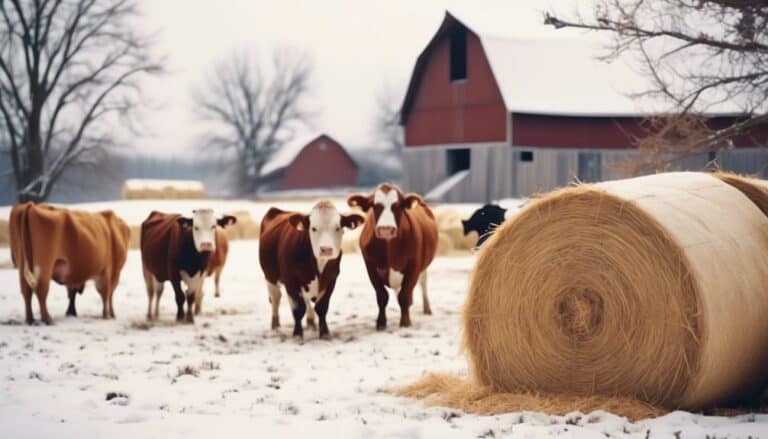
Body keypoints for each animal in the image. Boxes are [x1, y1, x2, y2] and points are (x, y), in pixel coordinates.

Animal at [260, 200, 364, 340]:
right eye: (313, 228)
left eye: (338, 228)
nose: (326, 249)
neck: (318, 263)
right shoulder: (290, 280)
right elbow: (298, 309)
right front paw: (297, 334)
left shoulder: (331, 279)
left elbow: (322, 307)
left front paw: (324, 332)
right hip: (270, 276)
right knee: (276, 298)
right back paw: (275, 326)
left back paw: (310, 323)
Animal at [348, 182, 438, 330]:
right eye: (374, 205)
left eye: (397, 205)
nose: (386, 229)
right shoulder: (370, 267)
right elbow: (382, 296)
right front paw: (381, 323)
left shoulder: (414, 266)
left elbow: (404, 295)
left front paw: (405, 322)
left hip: (423, 267)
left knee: (422, 282)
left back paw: (427, 308)